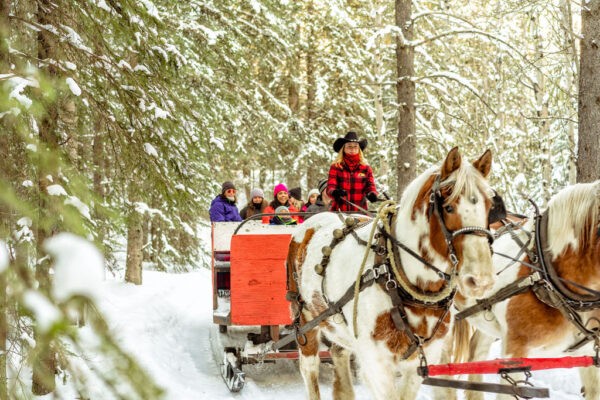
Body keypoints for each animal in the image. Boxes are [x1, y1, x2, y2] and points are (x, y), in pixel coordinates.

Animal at [286, 148, 496, 400]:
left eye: (489, 206)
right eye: (449, 207)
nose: (481, 280)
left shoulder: (419, 361)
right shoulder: (376, 362)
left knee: (339, 355)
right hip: (304, 321)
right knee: (309, 369)